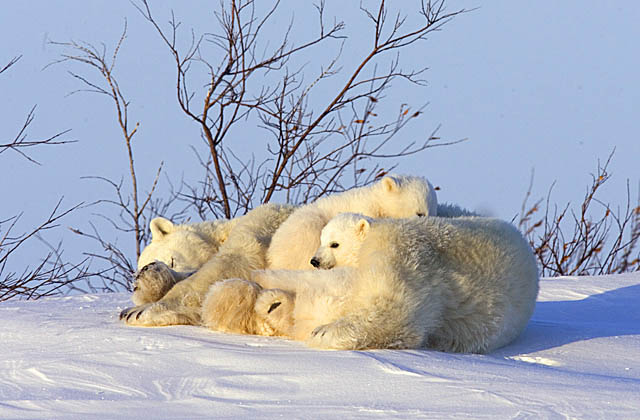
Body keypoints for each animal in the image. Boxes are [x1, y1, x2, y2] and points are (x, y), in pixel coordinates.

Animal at [119, 176, 440, 326]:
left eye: (173, 256)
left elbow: (225, 267)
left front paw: (141, 311)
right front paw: (147, 287)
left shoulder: (261, 226)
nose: (145, 268)